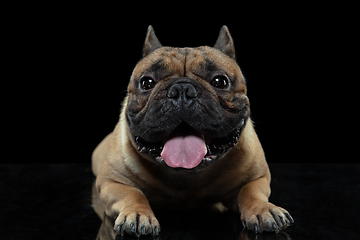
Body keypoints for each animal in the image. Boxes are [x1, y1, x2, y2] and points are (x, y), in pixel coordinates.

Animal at [91, 25, 294, 236]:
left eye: (220, 81)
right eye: (146, 83)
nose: (182, 90)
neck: (186, 175)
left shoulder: (257, 178)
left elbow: (251, 192)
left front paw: (264, 210)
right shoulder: (112, 182)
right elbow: (132, 194)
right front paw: (137, 214)